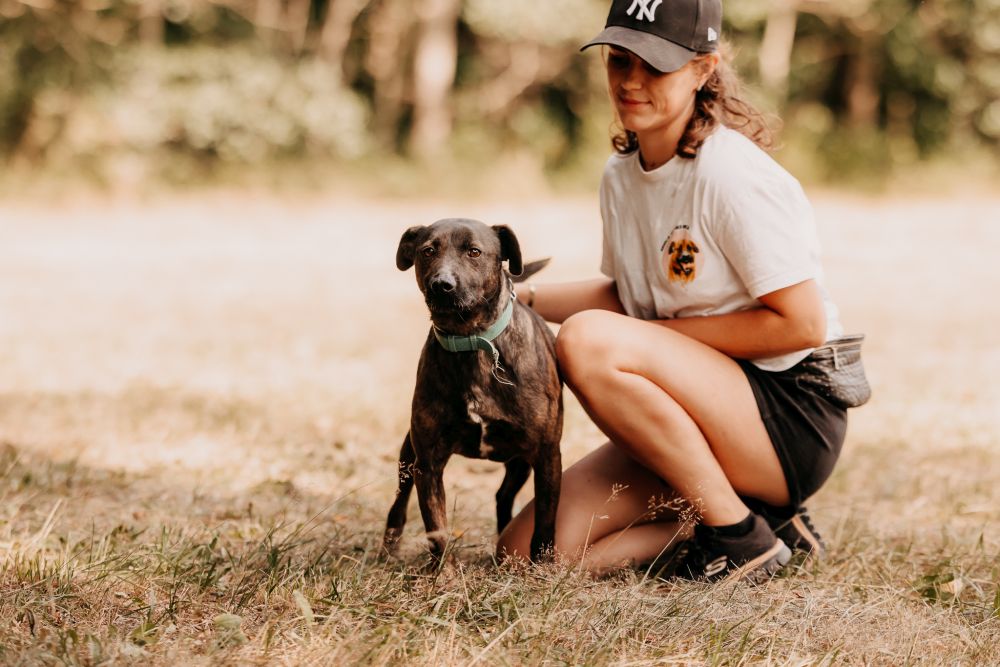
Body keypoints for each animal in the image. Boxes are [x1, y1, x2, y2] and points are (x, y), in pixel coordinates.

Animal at [383, 218, 563, 563]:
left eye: (474, 252)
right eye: (428, 251)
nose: (442, 284)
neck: (471, 341)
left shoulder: (547, 455)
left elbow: (545, 521)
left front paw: (542, 566)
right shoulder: (428, 463)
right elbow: (437, 530)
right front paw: (444, 574)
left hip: (520, 460)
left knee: (504, 495)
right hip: (408, 456)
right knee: (400, 497)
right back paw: (390, 543)